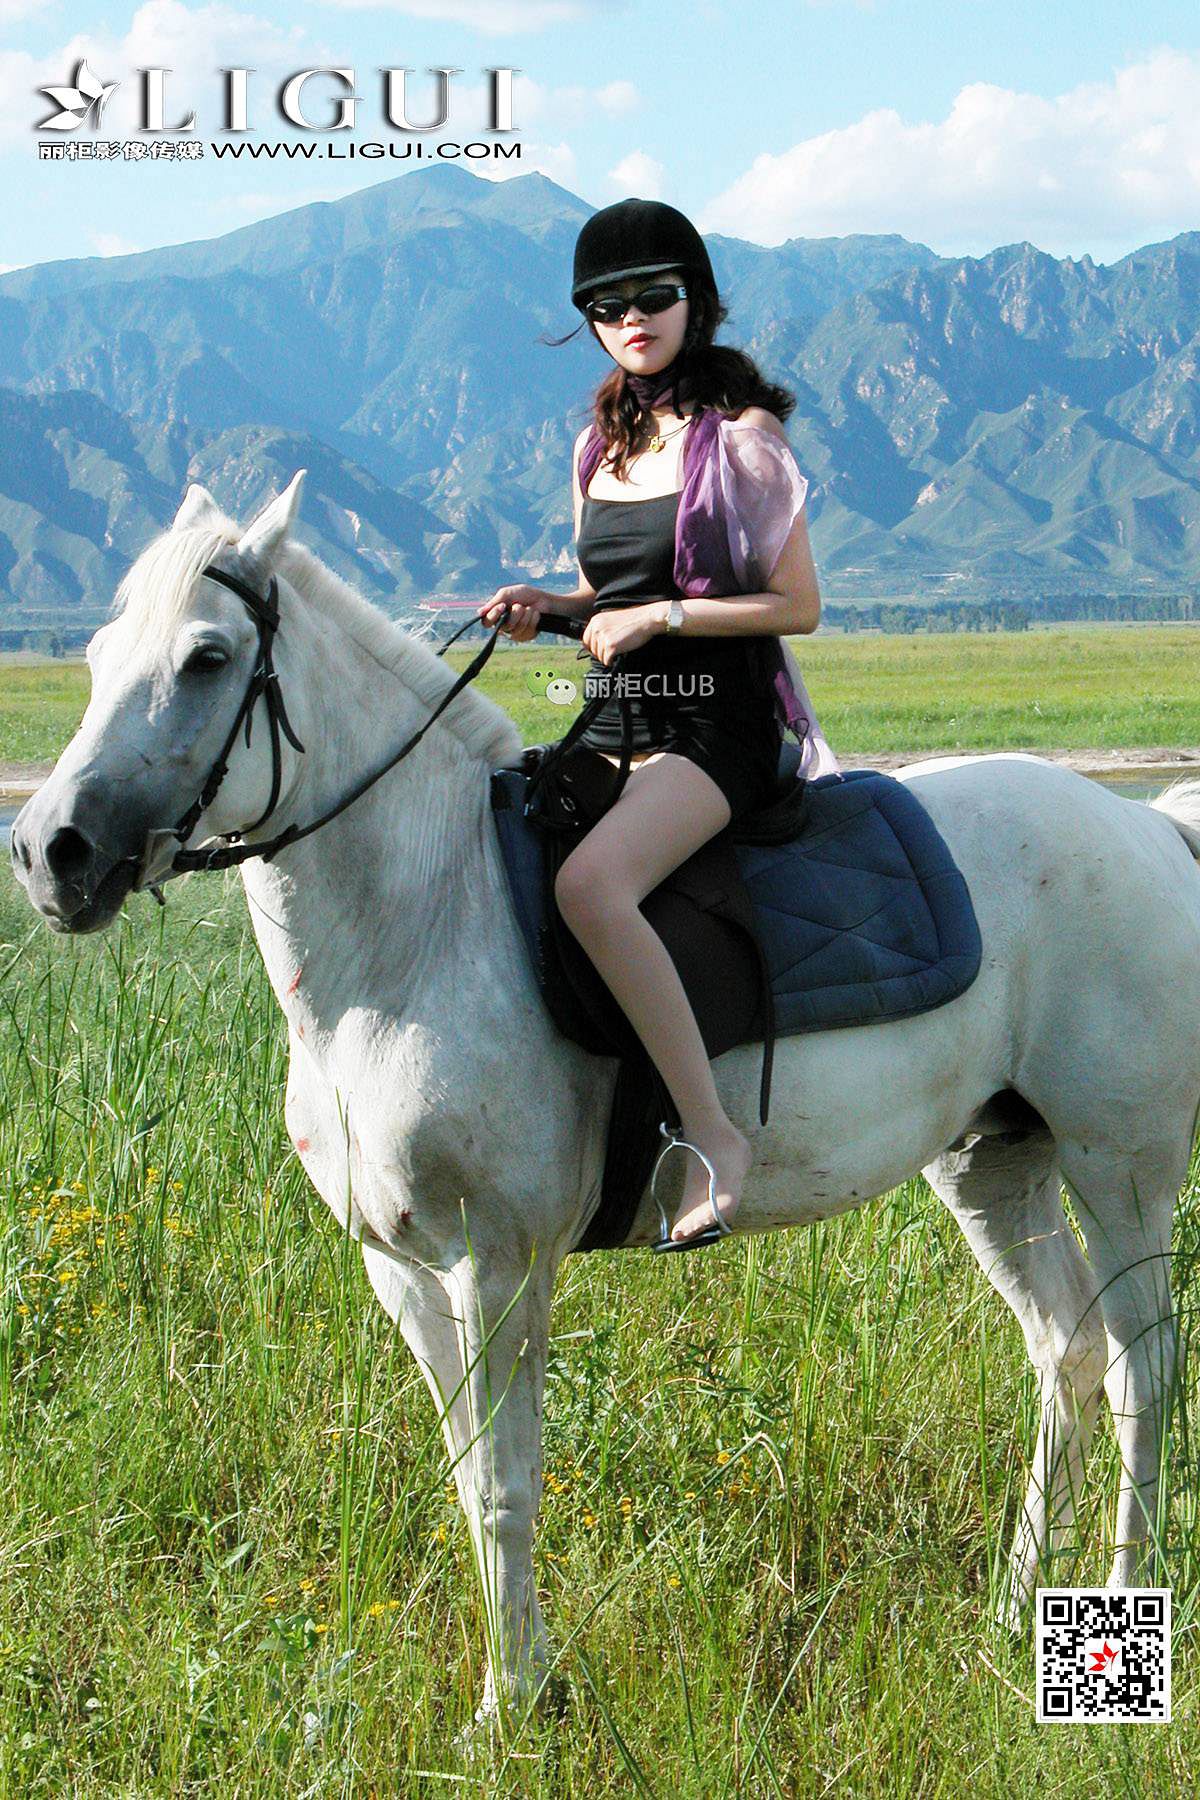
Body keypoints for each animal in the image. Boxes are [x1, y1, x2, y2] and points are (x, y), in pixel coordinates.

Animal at [11, 471, 1196, 1724]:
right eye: (94, 652)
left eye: (206, 656)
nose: (50, 852)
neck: (421, 925)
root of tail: (1150, 826)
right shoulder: (401, 1268)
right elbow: (468, 1476)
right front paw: (522, 1681)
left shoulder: (498, 1261)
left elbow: (506, 1484)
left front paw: (506, 1709)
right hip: (992, 1161)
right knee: (1067, 1352)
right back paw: (1016, 1612)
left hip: (1118, 1163)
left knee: (1143, 1364)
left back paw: (1120, 1604)